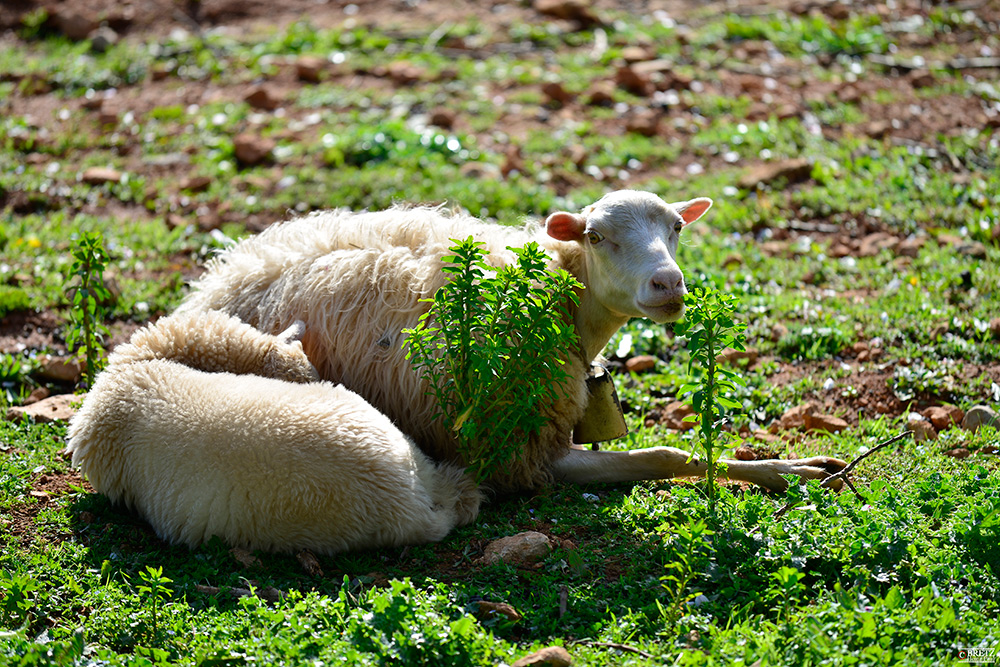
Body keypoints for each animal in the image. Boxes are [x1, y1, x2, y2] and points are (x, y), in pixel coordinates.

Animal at [178, 190, 844, 494]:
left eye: (677, 227)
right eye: (597, 236)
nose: (668, 284)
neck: (561, 301)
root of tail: (215, 279)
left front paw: (795, 465)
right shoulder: (525, 450)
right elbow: (666, 455)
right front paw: (787, 471)